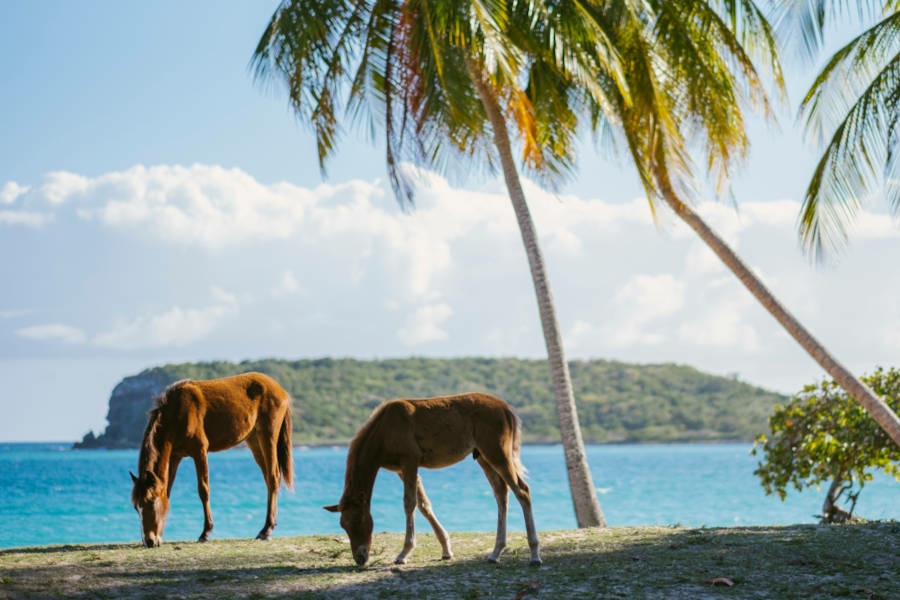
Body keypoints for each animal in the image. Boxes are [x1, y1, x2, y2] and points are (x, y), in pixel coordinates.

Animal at [130, 372, 293, 547]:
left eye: (152, 501)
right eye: (136, 507)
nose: (149, 540)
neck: (178, 412)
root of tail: (280, 390)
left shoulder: (199, 450)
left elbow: (203, 490)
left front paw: (205, 533)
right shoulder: (174, 457)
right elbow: (167, 491)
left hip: (268, 437)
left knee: (273, 477)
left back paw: (267, 529)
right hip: (254, 440)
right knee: (268, 479)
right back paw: (267, 526)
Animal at [324, 392, 542, 567]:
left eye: (358, 519)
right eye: (343, 525)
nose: (360, 558)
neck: (385, 430)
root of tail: (506, 409)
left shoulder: (410, 462)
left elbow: (410, 503)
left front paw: (404, 553)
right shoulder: (402, 470)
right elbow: (424, 504)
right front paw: (446, 550)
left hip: (497, 453)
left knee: (522, 491)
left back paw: (534, 555)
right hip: (483, 456)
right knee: (501, 493)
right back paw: (496, 552)